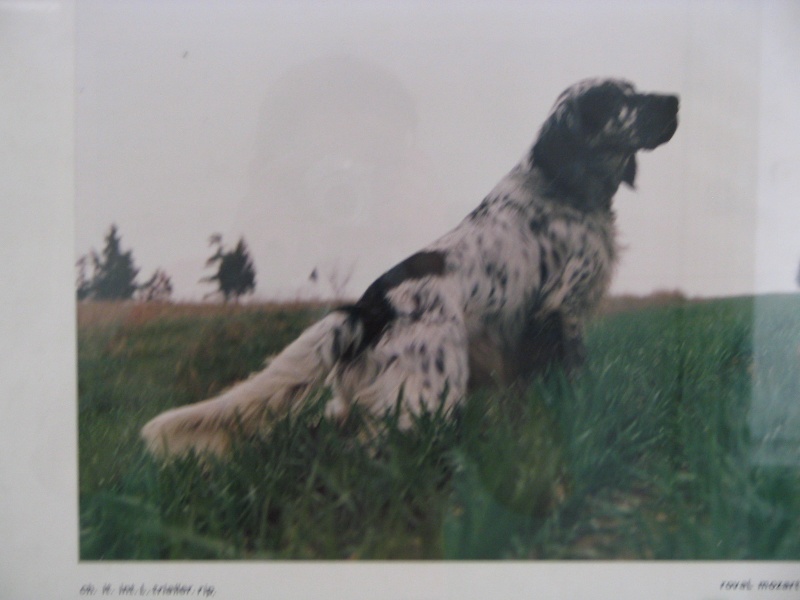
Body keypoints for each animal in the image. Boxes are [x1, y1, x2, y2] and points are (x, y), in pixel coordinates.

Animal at [142, 78, 678, 457]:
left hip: (364, 398)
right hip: (427, 396)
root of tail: (364, 310)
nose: (673, 101)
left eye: (633, 89)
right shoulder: (561, 309)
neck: (560, 186)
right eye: (615, 100)